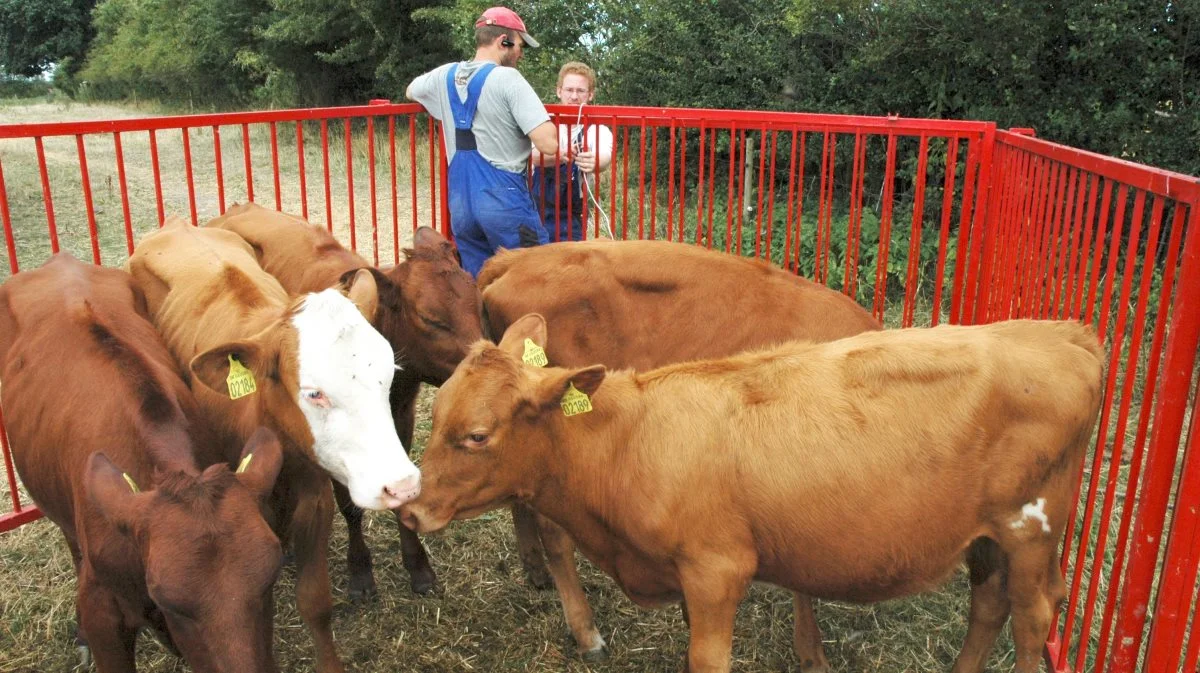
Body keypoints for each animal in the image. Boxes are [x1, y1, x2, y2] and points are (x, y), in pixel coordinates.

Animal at [206, 201, 482, 595]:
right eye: (431, 319)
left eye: (478, 301)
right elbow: (349, 505)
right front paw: (360, 571)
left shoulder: (401, 417)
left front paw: (417, 565)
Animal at [403, 314, 1104, 671]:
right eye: (437, 417)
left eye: (476, 435)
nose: (409, 508)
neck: (629, 438)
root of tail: (1062, 332)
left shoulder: (718, 570)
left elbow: (707, 660)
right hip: (985, 535)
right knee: (988, 604)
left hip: (1031, 529)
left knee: (1033, 615)